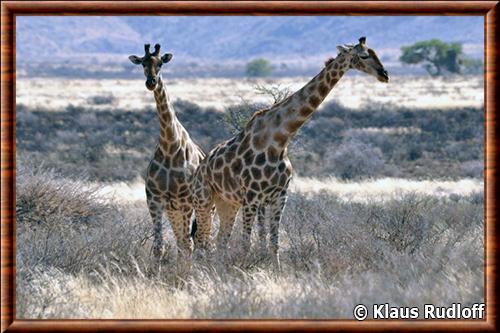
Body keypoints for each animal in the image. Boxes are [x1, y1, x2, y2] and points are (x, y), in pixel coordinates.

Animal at [130, 43, 206, 268]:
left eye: (161, 63)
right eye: (143, 63)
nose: (151, 82)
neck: (170, 146)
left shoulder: (186, 201)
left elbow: (188, 244)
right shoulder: (155, 200)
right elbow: (159, 247)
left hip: (200, 207)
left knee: (199, 242)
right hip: (173, 211)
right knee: (183, 242)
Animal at [189, 36, 388, 266]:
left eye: (375, 53)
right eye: (364, 56)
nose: (385, 74)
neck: (279, 140)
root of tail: (200, 167)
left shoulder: (279, 196)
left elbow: (274, 243)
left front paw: (274, 269)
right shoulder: (252, 197)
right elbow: (246, 244)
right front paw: (245, 268)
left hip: (227, 203)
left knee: (220, 240)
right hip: (204, 199)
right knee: (201, 239)